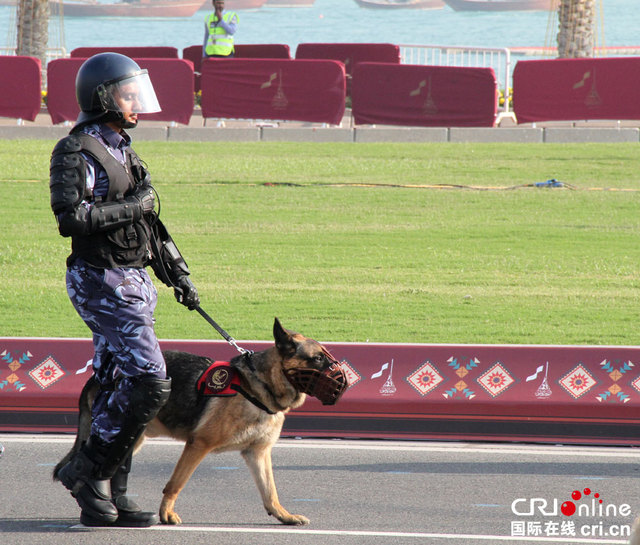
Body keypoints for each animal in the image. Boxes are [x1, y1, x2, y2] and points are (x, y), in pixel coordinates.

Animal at [52, 316, 348, 524]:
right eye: (317, 358)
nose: (344, 381)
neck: (258, 386)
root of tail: (99, 375)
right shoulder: (198, 445)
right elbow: (175, 483)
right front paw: (166, 514)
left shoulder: (258, 453)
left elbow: (270, 491)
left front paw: (283, 515)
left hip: (135, 436)